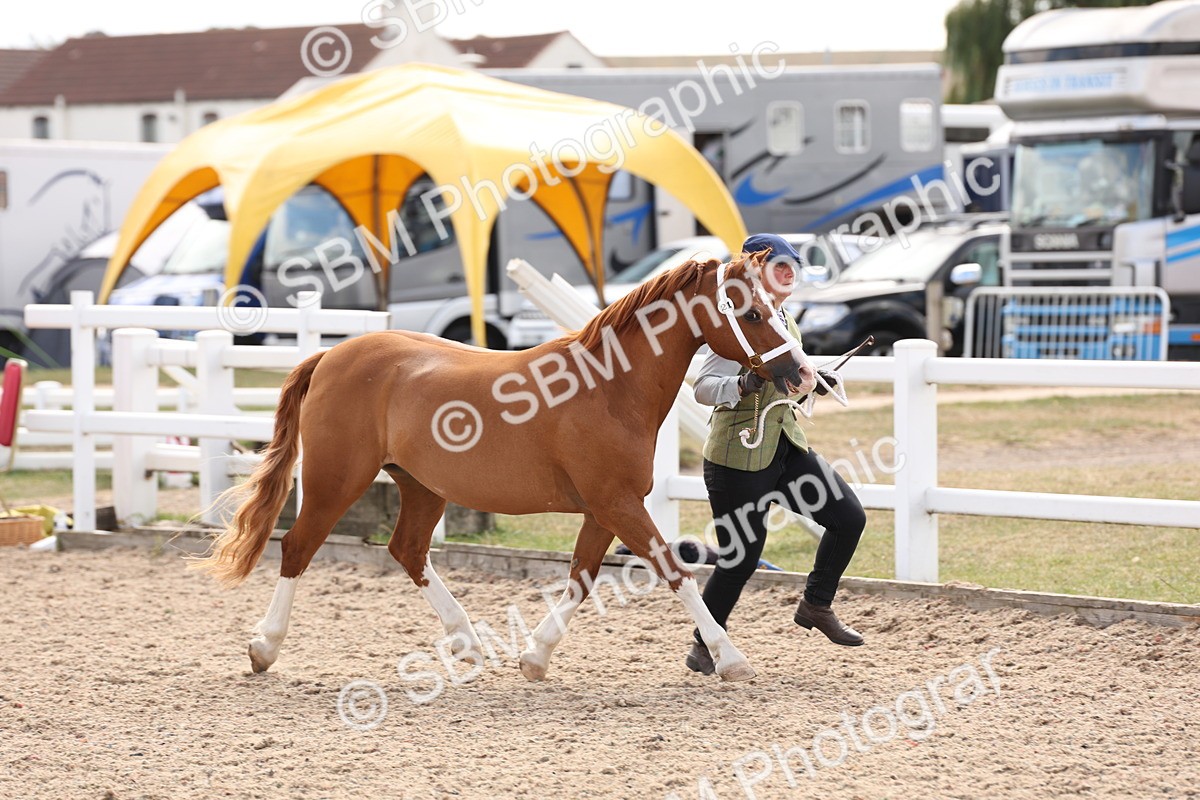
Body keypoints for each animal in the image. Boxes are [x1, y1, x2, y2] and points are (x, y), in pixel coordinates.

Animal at [193, 250, 815, 682]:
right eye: (752, 312)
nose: (804, 377)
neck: (610, 389)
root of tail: (329, 355)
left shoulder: (604, 509)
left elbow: (582, 576)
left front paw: (535, 657)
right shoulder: (618, 504)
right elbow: (676, 572)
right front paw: (731, 658)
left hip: (421, 487)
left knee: (408, 550)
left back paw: (466, 641)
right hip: (335, 480)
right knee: (297, 547)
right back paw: (264, 647)